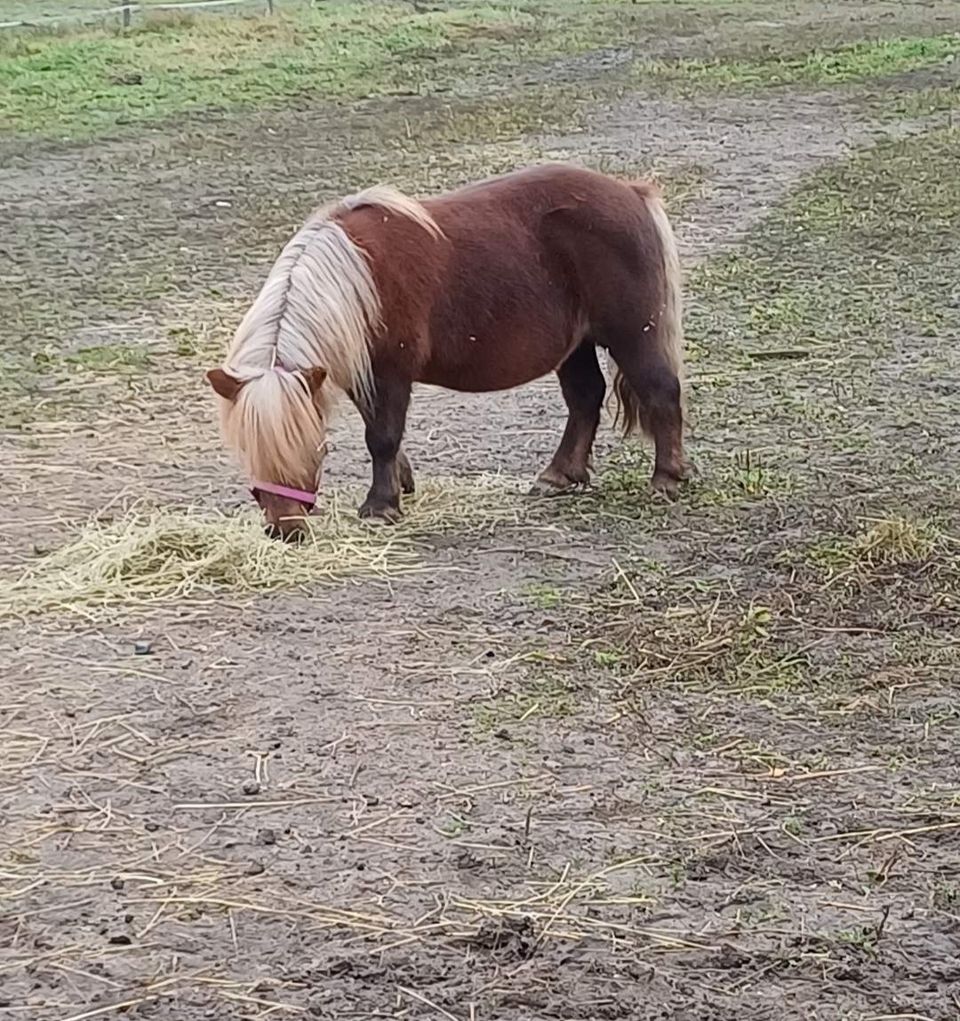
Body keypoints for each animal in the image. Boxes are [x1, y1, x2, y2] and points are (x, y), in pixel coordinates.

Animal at [208, 163, 690, 539]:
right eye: (248, 449)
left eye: (310, 447)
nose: (284, 530)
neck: (356, 278)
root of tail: (630, 191)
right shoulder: (361, 376)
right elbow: (381, 434)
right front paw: (400, 485)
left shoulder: (390, 372)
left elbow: (381, 436)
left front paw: (380, 507)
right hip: (576, 344)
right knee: (585, 399)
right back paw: (557, 476)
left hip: (631, 333)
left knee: (661, 390)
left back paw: (666, 479)